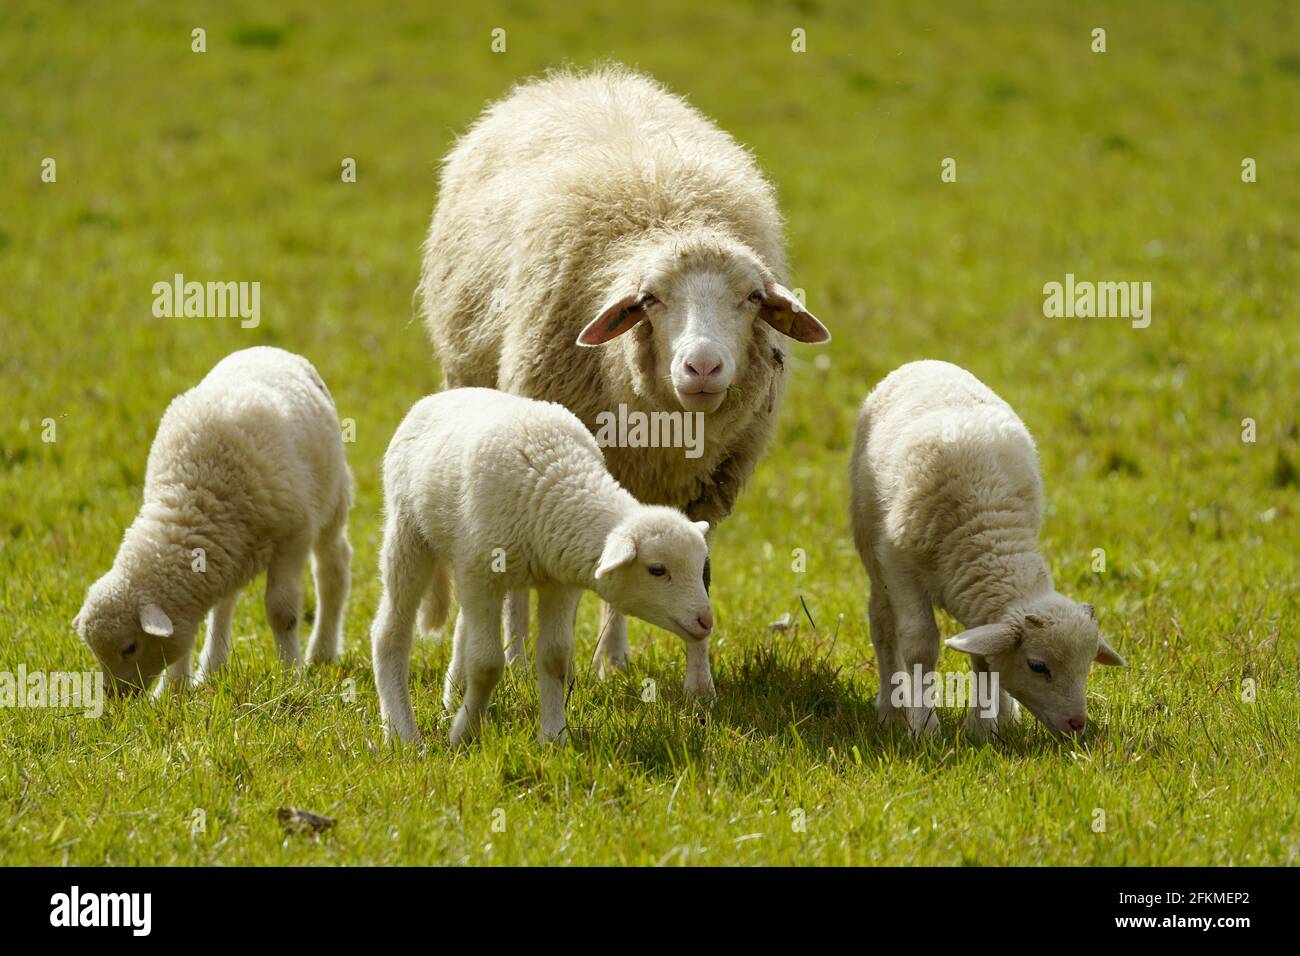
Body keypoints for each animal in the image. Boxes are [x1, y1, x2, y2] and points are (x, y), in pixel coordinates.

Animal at [73, 348, 353, 697]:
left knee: (333, 567)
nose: (114, 697)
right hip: (235, 546)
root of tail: (268, 349)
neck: (191, 495)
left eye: (129, 647)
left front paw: (291, 677)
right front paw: (172, 690)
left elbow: (282, 612)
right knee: (224, 604)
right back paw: (212, 669)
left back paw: (323, 651)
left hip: (332, 498)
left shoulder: (292, 537)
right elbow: (186, 632)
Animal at [371, 390, 717, 749]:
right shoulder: (482, 575)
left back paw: (451, 697)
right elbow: (486, 664)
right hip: (409, 533)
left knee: (463, 625)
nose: (706, 621)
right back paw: (402, 733)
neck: (556, 474)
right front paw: (463, 734)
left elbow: (554, 659)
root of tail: (437, 396)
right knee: (389, 633)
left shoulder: (558, 583)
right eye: (657, 570)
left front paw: (553, 738)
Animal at [418, 65, 832, 697]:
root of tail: (575, 78)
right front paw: (550, 661)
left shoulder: (707, 485)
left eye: (753, 298)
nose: (702, 368)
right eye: (650, 299)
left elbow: (689, 565)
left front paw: (694, 685)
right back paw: (516, 654)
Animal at [847, 361, 1123, 738]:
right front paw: (925, 726)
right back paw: (890, 709)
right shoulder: (899, 565)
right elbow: (920, 643)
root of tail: (925, 362)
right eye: (1038, 666)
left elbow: (983, 656)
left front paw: (985, 727)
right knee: (882, 623)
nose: (1076, 725)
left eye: (1087, 666)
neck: (988, 524)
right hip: (871, 547)